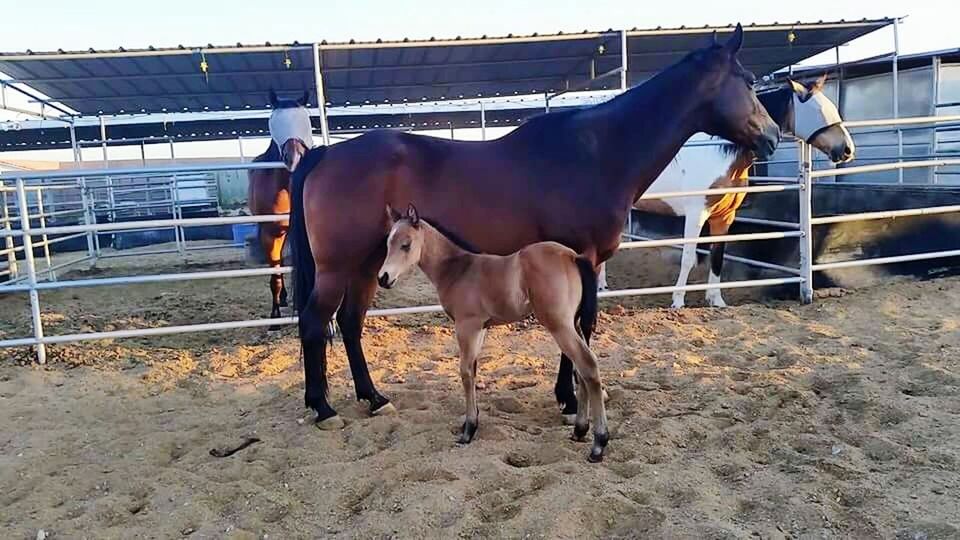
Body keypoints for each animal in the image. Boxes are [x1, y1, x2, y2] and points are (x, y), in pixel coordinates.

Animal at [284, 25, 780, 428]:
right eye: (748, 80)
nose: (774, 135)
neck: (598, 152)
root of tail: (325, 154)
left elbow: (577, 325)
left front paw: (569, 395)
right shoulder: (584, 258)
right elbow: (581, 324)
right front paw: (570, 398)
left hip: (372, 264)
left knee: (349, 323)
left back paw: (374, 398)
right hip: (338, 266)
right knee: (314, 321)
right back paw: (323, 408)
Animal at [592, 75, 856, 308]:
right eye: (819, 110)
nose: (847, 150)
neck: (721, 154)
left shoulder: (724, 216)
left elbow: (717, 256)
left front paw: (715, 300)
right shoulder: (696, 214)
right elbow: (689, 257)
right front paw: (677, 301)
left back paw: (602, 286)